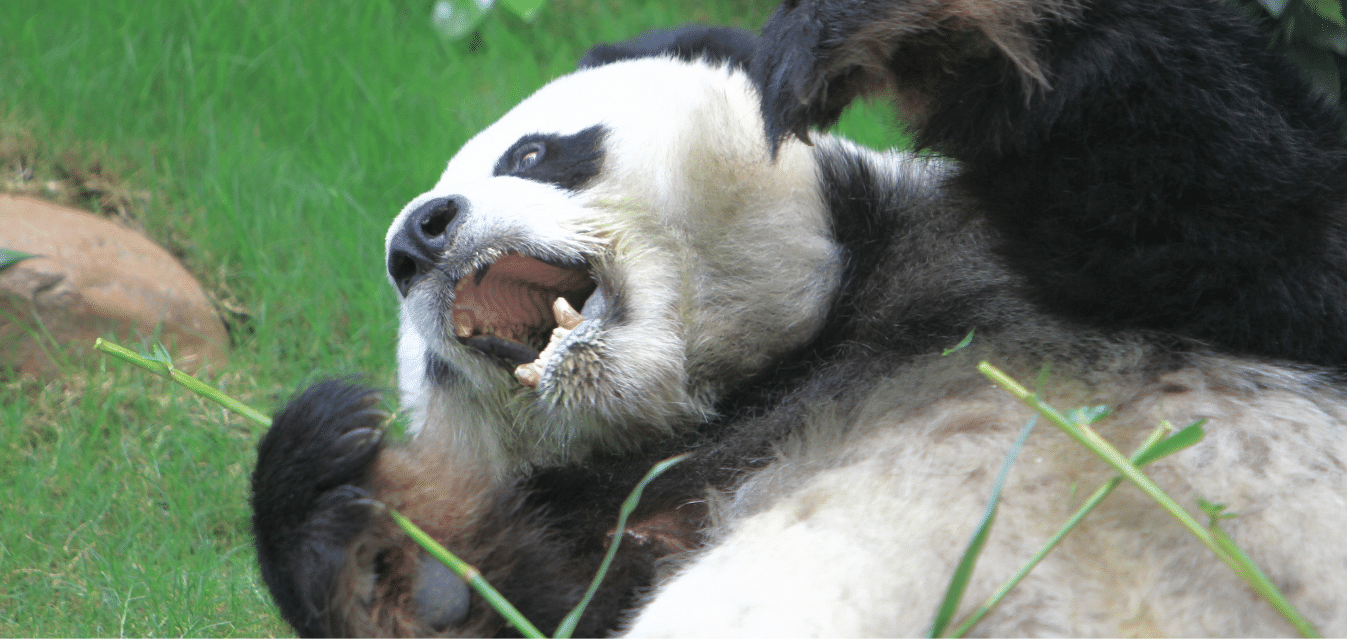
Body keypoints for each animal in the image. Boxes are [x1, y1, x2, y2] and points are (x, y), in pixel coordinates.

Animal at [251, 3, 1347, 637]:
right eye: (424, 364)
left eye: (535, 154)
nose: (416, 236)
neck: (770, 378)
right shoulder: (638, 513)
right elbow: (533, 610)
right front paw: (364, 528)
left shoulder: (1008, 269)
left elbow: (1224, 187)